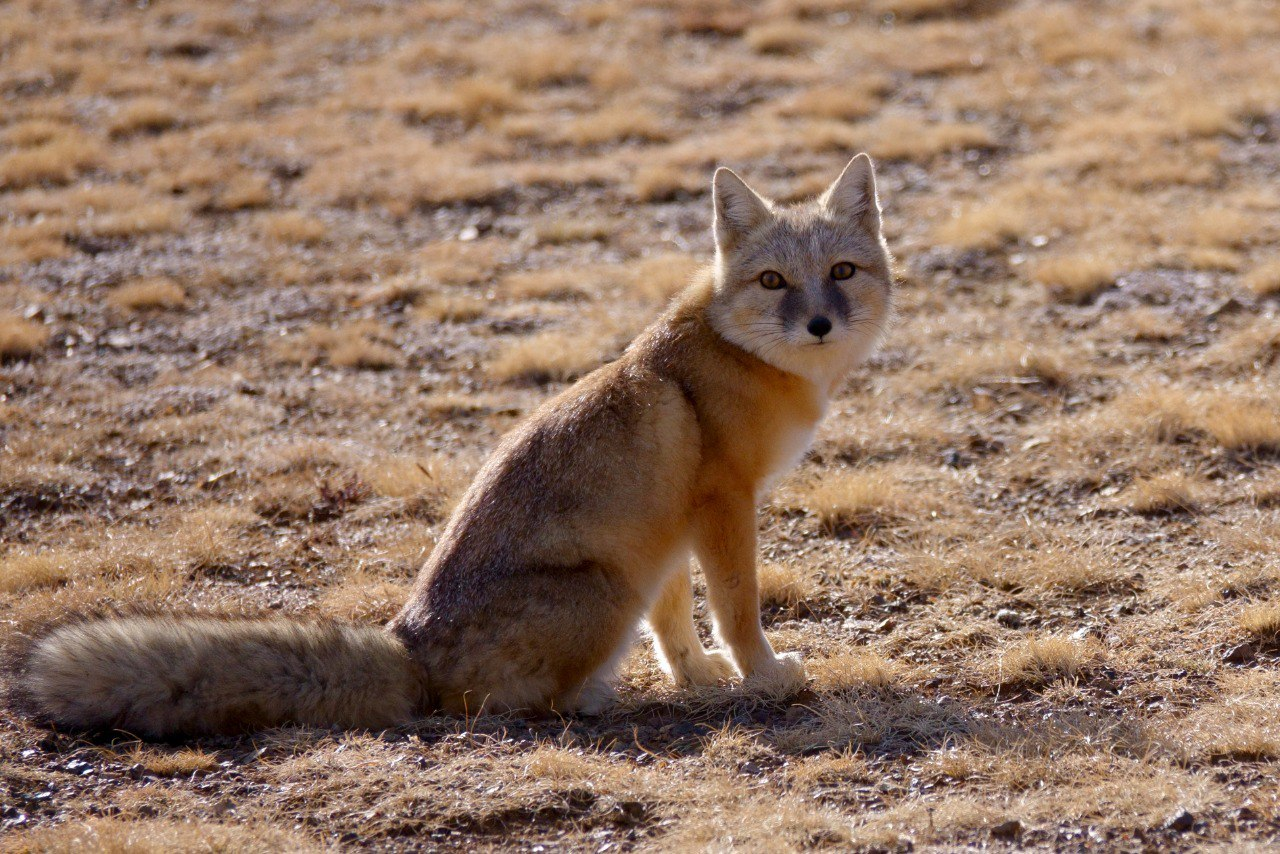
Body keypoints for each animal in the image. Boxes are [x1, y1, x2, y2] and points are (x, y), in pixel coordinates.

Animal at [7, 155, 890, 742]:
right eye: (774, 282)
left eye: (842, 271)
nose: (820, 323)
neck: (745, 362)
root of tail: (410, 644)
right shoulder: (722, 505)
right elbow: (738, 608)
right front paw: (762, 677)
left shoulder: (669, 530)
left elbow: (676, 625)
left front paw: (700, 680)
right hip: (607, 589)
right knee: (502, 705)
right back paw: (588, 698)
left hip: (627, 576)